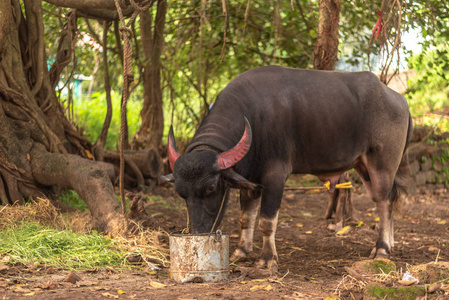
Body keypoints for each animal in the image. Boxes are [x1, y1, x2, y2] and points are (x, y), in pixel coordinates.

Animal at [163, 65, 412, 272]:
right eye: (180, 193)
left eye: (211, 187)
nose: (198, 232)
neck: (253, 120)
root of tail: (399, 100)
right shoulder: (250, 181)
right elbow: (246, 218)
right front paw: (241, 251)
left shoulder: (275, 176)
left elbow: (266, 221)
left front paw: (267, 260)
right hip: (363, 166)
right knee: (387, 198)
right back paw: (389, 244)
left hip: (382, 165)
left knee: (384, 201)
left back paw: (382, 248)